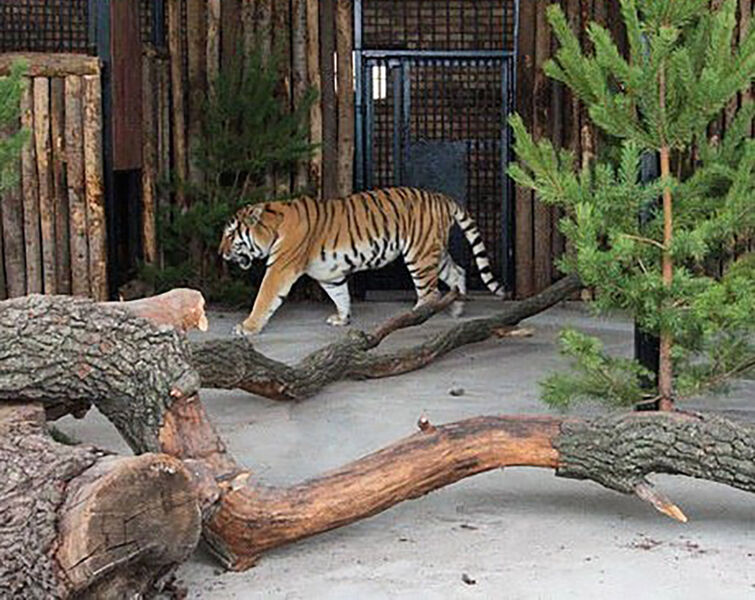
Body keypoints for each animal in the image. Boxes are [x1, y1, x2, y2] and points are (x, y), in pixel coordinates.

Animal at [219, 186, 508, 336]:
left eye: (231, 234)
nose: (221, 253)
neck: (273, 225)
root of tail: (442, 198)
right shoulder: (329, 273)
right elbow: (340, 295)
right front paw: (342, 319)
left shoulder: (280, 268)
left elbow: (264, 297)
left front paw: (247, 327)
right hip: (434, 252)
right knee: (457, 272)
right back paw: (457, 309)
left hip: (420, 254)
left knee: (430, 293)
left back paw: (414, 318)